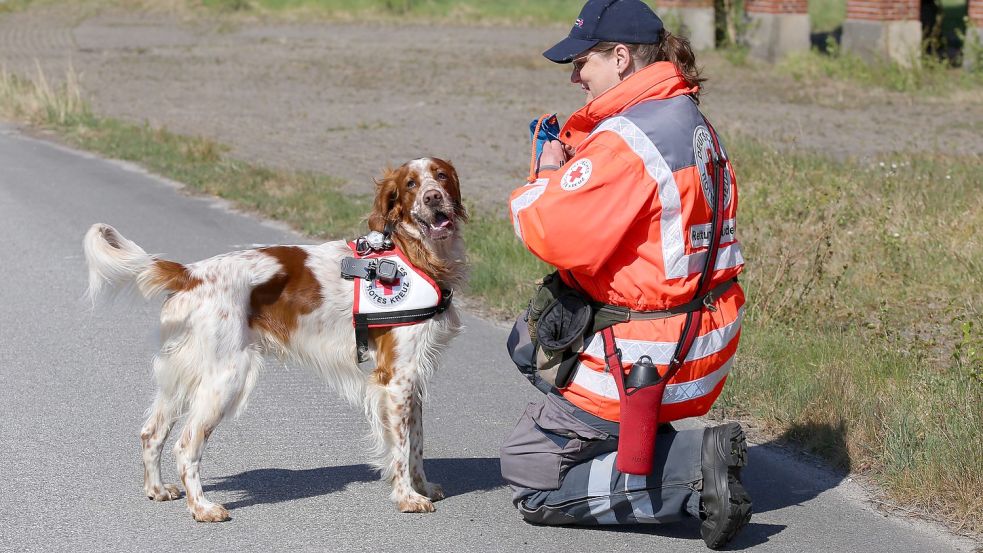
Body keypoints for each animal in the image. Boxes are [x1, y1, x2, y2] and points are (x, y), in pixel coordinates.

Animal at [83, 157, 468, 520]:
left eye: (441, 176)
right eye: (411, 184)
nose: (433, 198)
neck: (416, 254)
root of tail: (191, 273)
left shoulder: (412, 379)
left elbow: (417, 443)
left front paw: (423, 487)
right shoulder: (395, 378)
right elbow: (401, 448)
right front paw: (407, 498)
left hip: (182, 375)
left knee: (151, 432)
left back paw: (158, 489)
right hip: (226, 377)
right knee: (186, 445)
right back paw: (202, 508)